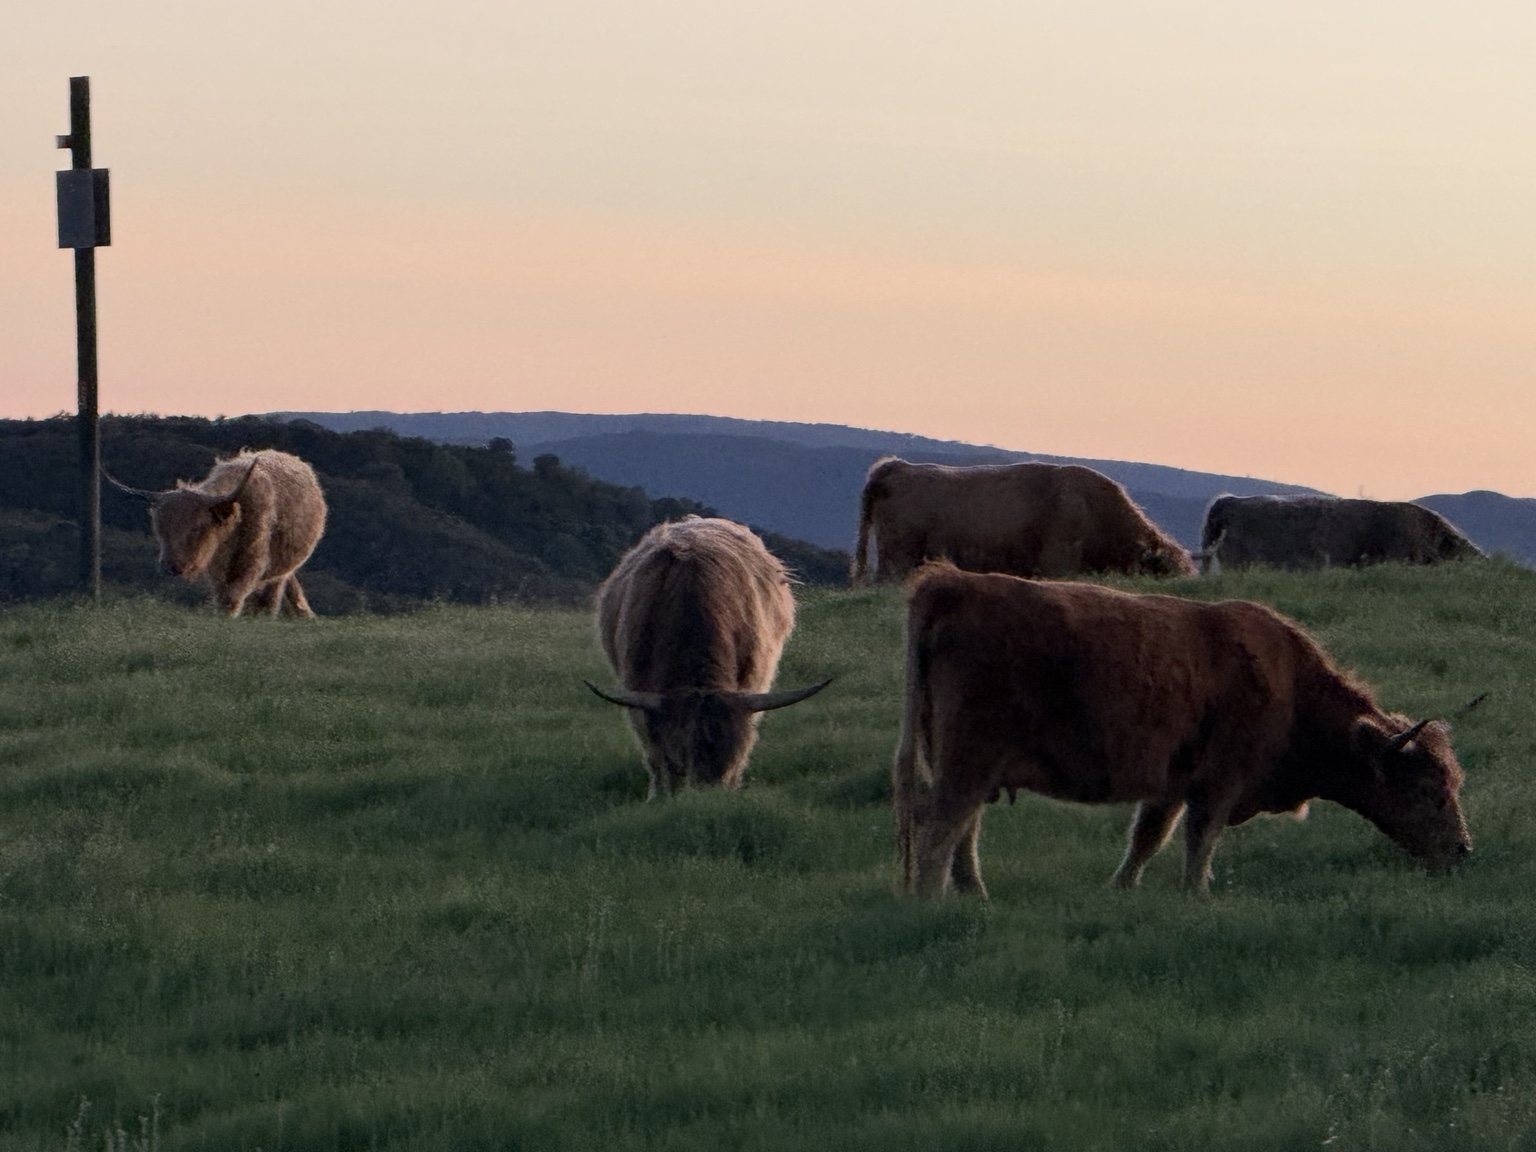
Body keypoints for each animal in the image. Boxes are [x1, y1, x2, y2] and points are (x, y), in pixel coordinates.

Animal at [104, 449, 327, 618]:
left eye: (197, 527)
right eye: (160, 528)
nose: (171, 566)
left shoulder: (253, 561)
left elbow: (232, 597)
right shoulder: (216, 567)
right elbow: (222, 595)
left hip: (282, 567)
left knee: (272, 593)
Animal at [893, 561, 1473, 898]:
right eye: (1428, 789)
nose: (1464, 851)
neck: (1288, 684)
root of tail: (951, 584)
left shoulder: (1171, 785)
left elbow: (1147, 839)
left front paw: (1122, 892)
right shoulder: (1218, 784)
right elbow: (1200, 840)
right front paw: (1197, 897)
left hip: (968, 765)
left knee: (962, 828)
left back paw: (975, 898)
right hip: (968, 761)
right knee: (940, 826)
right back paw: (933, 903)